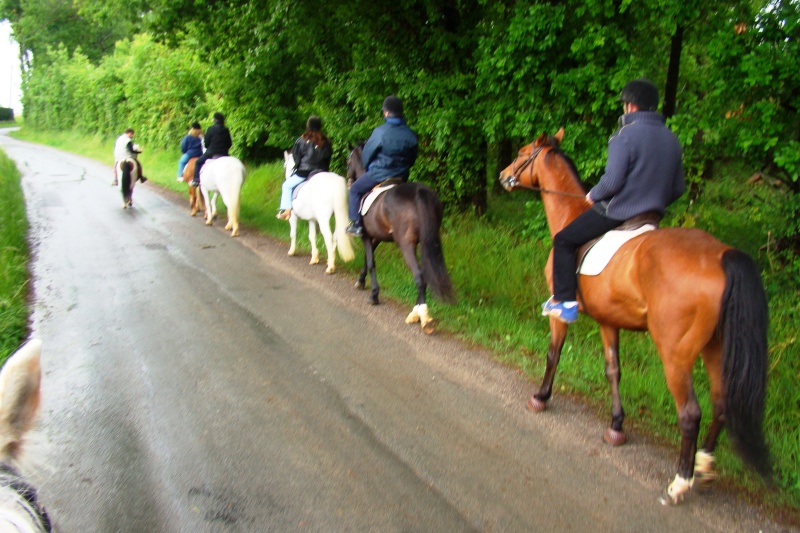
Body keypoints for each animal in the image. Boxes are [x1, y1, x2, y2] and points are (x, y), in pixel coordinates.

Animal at [346, 144, 454, 332]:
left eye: (348, 160)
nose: (349, 180)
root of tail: (420, 192)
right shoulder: (376, 237)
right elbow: (368, 259)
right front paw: (361, 281)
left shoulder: (366, 236)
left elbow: (371, 262)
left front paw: (374, 295)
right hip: (427, 241)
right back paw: (419, 313)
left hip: (406, 245)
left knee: (419, 276)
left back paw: (421, 316)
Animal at [500, 128, 768, 502]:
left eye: (524, 152)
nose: (502, 176)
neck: (570, 213)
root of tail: (721, 255)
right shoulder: (608, 321)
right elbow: (613, 370)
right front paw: (616, 426)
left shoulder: (559, 313)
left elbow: (554, 354)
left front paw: (541, 397)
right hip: (715, 347)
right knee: (721, 404)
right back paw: (704, 466)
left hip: (675, 354)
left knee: (690, 413)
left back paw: (680, 481)